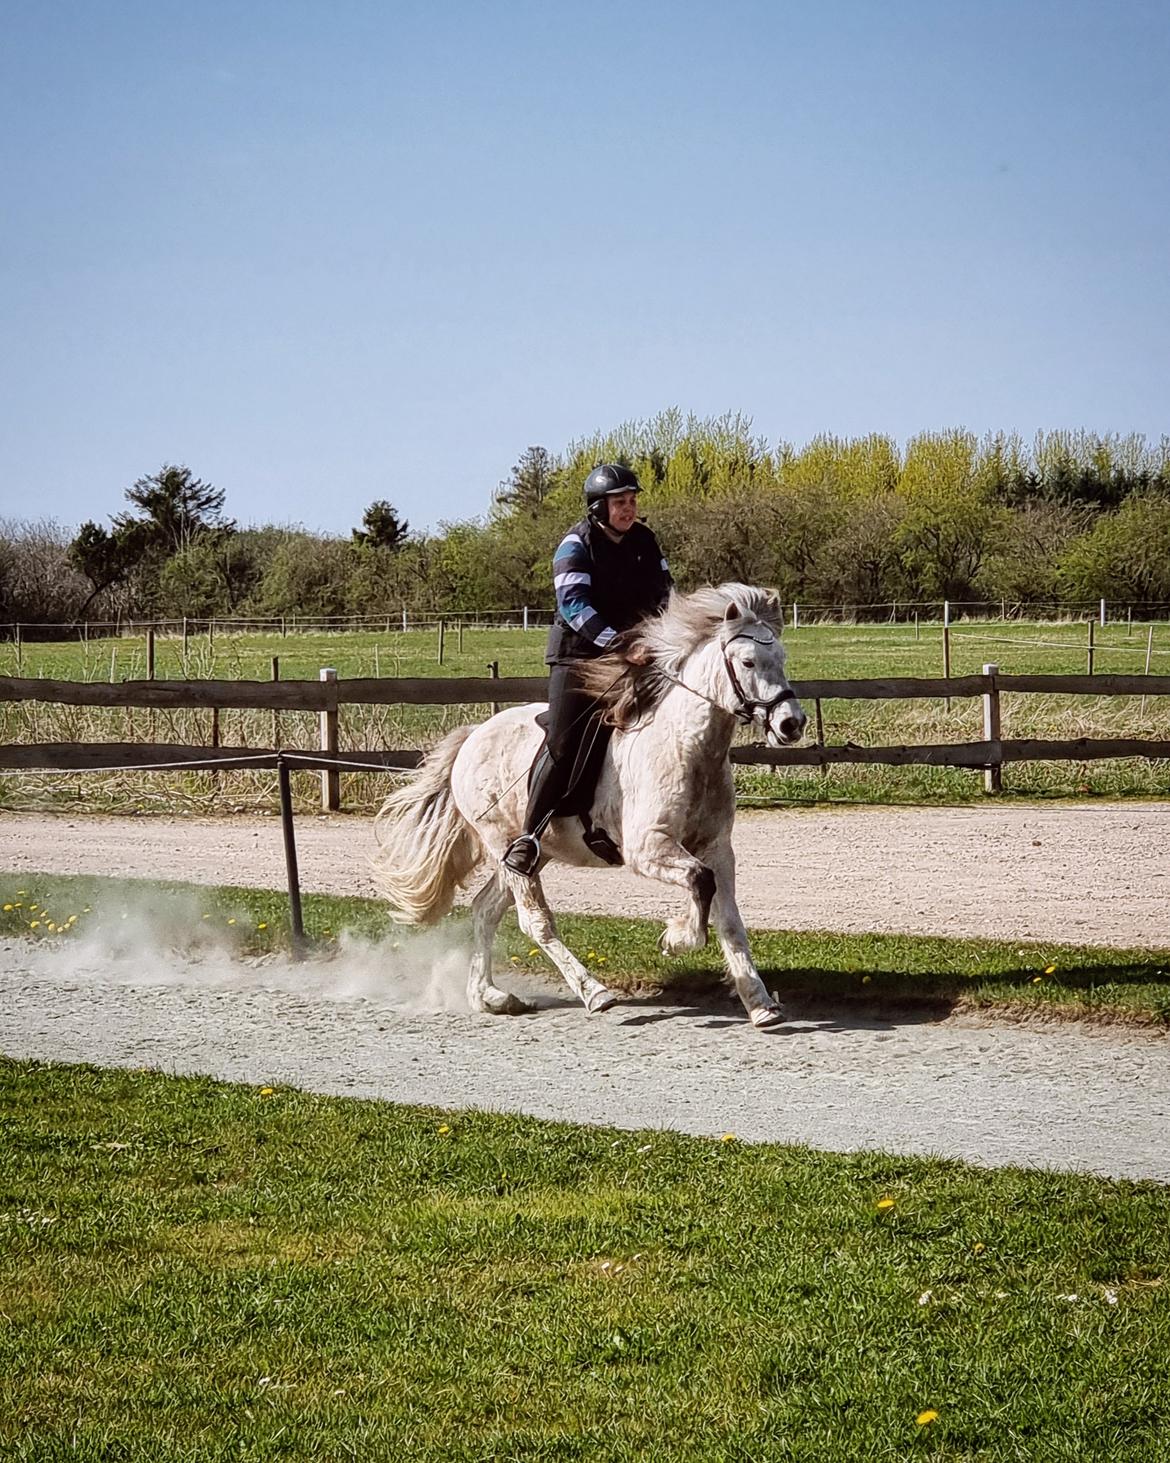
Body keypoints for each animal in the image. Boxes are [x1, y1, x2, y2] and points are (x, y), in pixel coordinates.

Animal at [374, 579, 807, 1029]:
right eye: (747, 662)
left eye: (781, 657)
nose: (791, 724)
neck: (685, 746)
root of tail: (473, 736)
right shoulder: (647, 850)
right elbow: (700, 882)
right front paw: (679, 939)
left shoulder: (717, 848)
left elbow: (729, 919)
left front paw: (760, 1003)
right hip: (504, 844)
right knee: (535, 922)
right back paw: (595, 992)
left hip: (531, 855)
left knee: (485, 908)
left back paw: (489, 997)